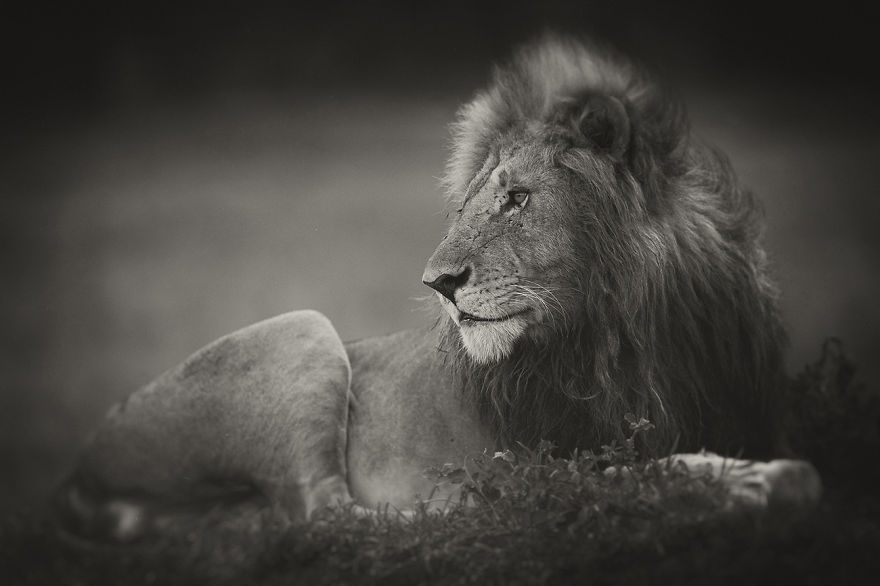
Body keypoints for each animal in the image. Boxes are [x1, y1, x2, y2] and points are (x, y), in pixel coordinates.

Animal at [54, 35, 820, 543]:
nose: (439, 284)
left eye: (517, 199)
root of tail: (80, 470)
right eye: (465, 207)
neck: (637, 331)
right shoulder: (534, 458)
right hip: (303, 330)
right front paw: (758, 480)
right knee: (328, 519)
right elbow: (617, 475)